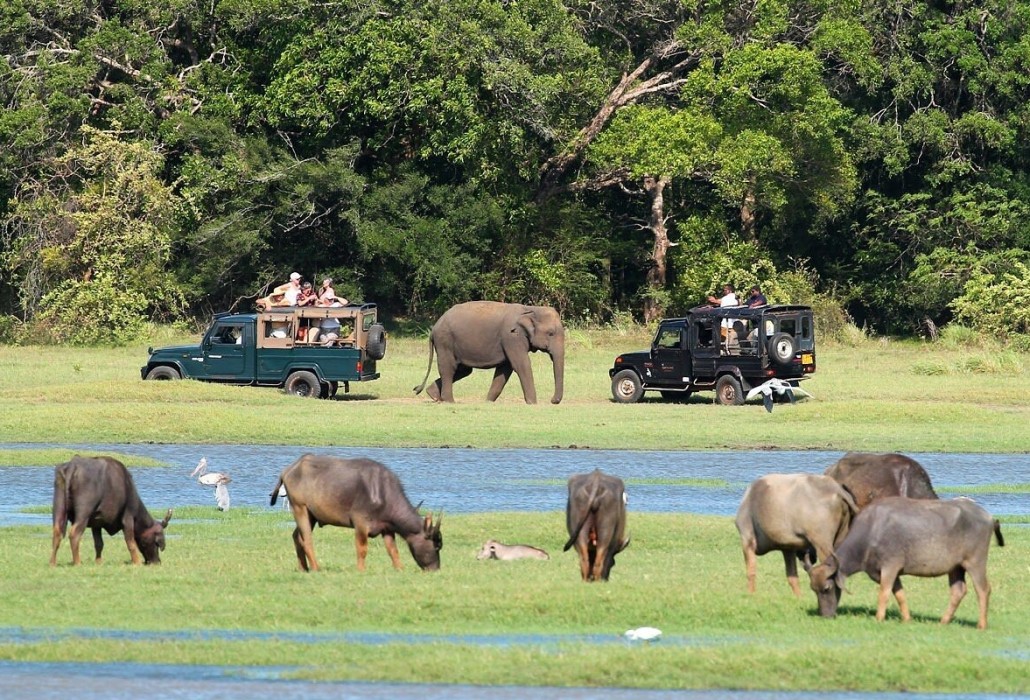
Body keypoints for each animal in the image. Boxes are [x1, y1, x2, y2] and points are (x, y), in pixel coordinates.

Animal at [269, 452, 442, 572]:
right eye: (436, 546)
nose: (435, 569)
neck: (382, 494)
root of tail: (289, 470)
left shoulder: (387, 528)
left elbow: (393, 551)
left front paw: (400, 569)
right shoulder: (360, 524)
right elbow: (362, 549)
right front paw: (361, 570)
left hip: (311, 515)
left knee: (296, 536)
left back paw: (303, 568)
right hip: (300, 508)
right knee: (307, 540)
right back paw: (316, 568)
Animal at [414, 300, 568, 405]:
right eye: (551, 333)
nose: (552, 400)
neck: (531, 309)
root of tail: (434, 328)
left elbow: (504, 370)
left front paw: (488, 402)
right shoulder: (511, 337)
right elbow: (521, 365)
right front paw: (532, 403)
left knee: (463, 370)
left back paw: (433, 395)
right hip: (445, 341)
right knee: (449, 368)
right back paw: (449, 401)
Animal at [807, 498, 1001, 630]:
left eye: (827, 588)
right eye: (813, 589)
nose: (825, 615)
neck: (871, 532)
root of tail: (989, 517)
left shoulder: (890, 567)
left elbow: (884, 593)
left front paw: (879, 618)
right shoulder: (892, 572)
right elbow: (899, 594)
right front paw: (907, 618)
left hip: (975, 562)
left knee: (983, 589)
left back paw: (981, 625)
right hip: (955, 568)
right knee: (958, 591)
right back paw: (943, 621)